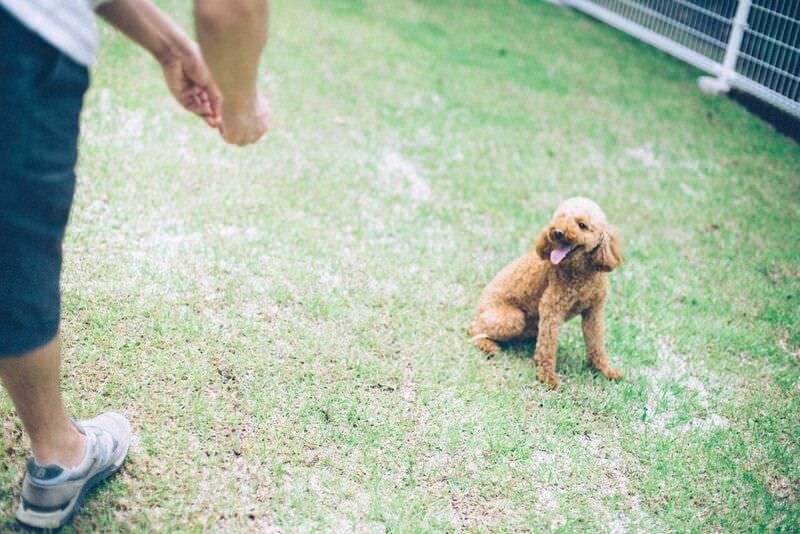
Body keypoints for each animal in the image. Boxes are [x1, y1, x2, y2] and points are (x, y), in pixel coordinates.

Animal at [468, 197, 623, 389]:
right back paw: (489, 346)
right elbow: (548, 347)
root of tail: (478, 309)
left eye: (582, 225)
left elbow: (597, 343)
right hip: (513, 318)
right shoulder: (551, 308)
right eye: (559, 218)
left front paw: (604, 370)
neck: (581, 273)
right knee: (473, 329)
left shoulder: (594, 312)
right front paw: (547, 377)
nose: (557, 232)